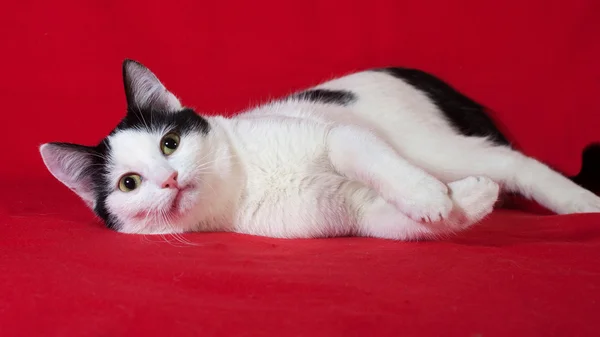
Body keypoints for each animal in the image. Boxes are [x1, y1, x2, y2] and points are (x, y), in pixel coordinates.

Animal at [38, 59, 600, 239]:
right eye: (129, 184)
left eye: (169, 143)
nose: (170, 179)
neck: (241, 183)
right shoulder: (336, 208)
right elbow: (382, 219)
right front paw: (463, 205)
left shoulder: (338, 137)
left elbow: (367, 157)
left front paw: (426, 197)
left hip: (431, 145)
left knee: (512, 161)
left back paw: (581, 203)